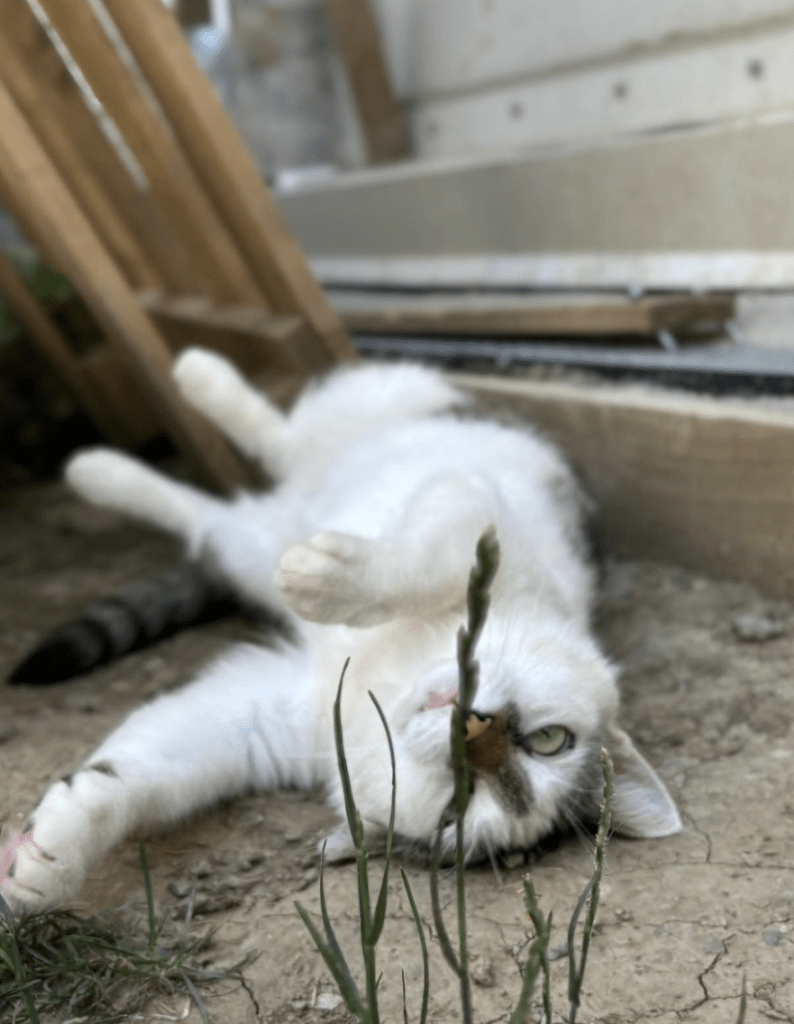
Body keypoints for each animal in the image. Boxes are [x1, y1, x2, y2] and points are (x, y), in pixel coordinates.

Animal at [3, 352, 680, 913]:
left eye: (461, 806)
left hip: (252, 541)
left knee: (212, 517)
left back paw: (102, 471)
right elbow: (419, 565)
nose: (472, 728)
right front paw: (324, 581)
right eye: (552, 740)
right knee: (283, 439)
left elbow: (137, 777)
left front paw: (46, 862)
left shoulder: (257, 717)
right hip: (374, 412)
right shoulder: (476, 515)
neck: (389, 673)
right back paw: (191, 386)